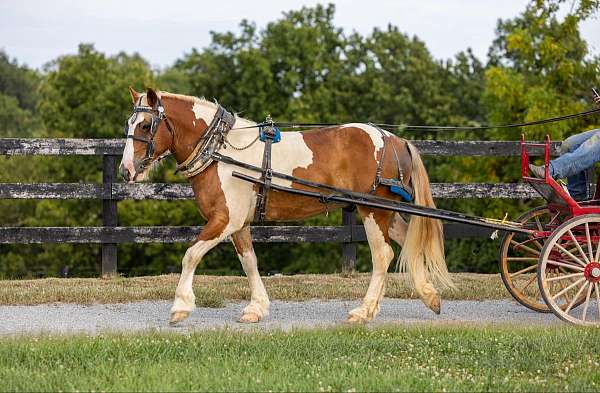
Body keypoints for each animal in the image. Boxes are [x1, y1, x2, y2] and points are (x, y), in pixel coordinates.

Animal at [119, 87, 452, 324]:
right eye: (129, 124)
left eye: (146, 125)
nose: (126, 170)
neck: (221, 151)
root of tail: (394, 140)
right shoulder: (239, 223)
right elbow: (249, 262)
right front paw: (256, 308)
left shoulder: (225, 218)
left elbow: (191, 255)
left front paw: (180, 306)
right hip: (388, 212)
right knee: (408, 242)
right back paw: (429, 296)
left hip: (373, 209)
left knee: (383, 255)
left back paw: (364, 310)